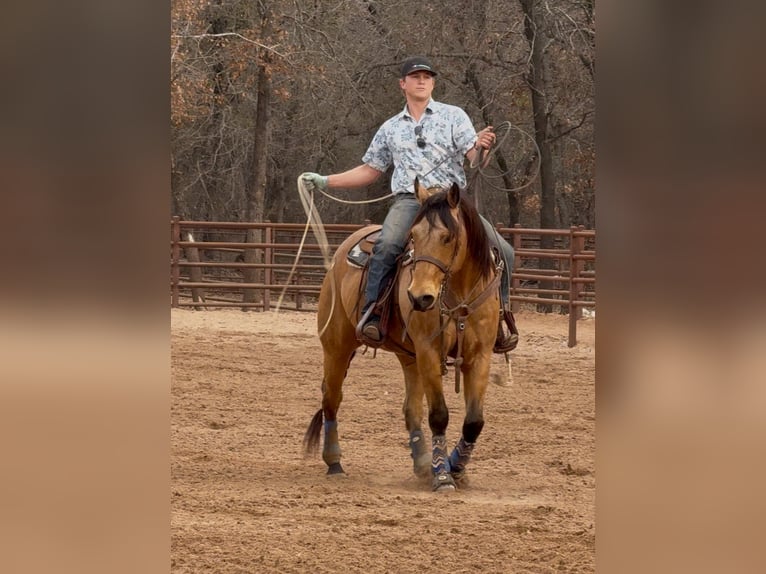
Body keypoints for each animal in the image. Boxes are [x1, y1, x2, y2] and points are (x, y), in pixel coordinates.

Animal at [303, 180, 502, 491]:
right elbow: (439, 415)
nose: (420, 297)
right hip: (337, 347)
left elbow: (474, 421)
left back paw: (423, 464)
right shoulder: (429, 351)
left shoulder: (479, 356)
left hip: (408, 356)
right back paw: (334, 462)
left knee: (411, 410)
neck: (458, 296)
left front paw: (455, 468)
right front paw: (443, 476)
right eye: (413, 236)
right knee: (331, 399)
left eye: (448, 237)